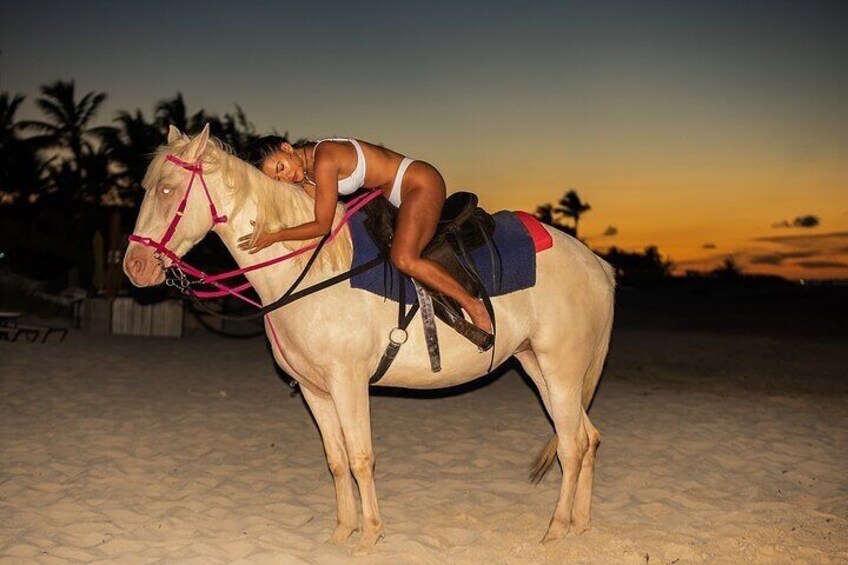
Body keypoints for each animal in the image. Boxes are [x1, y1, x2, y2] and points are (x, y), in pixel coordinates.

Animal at [124, 125, 616, 552]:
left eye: (166, 190)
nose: (135, 267)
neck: (311, 268)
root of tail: (596, 264)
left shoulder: (348, 383)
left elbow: (361, 458)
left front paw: (370, 535)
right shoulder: (315, 390)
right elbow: (337, 460)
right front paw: (343, 532)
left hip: (561, 371)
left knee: (571, 446)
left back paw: (556, 530)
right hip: (541, 368)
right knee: (588, 438)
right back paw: (580, 525)